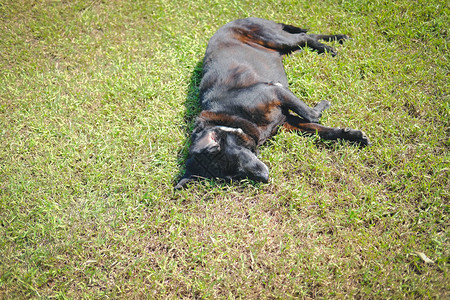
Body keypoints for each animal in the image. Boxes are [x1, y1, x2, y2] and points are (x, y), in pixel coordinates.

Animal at [176, 17, 370, 189]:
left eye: (236, 161)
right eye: (233, 176)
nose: (264, 178)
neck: (231, 117)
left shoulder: (274, 91)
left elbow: (312, 115)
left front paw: (324, 106)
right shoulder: (287, 122)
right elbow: (322, 130)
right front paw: (353, 136)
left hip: (275, 38)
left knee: (303, 37)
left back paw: (328, 47)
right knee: (308, 36)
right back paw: (339, 38)